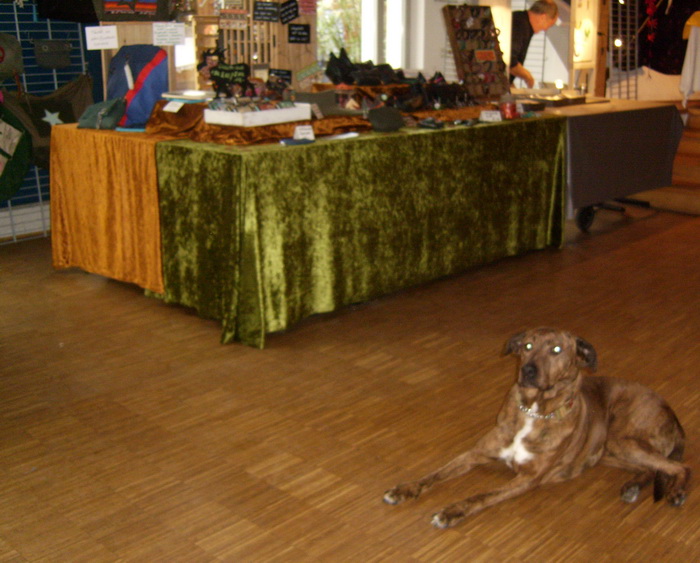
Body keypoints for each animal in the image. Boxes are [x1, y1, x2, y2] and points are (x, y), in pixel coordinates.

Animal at [383, 327, 690, 528]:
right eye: (527, 346)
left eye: (556, 350)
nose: (528, 370)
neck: (534, 410)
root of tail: (673, 415)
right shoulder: (474, 454)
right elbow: (434, 474)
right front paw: (404, 489)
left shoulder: (528, 478)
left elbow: (481, 496)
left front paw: (451, 511)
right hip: (609, 451)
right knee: (654, 467)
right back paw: (633, 486)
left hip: (620, 437)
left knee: (679, 467)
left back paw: (676, 492)